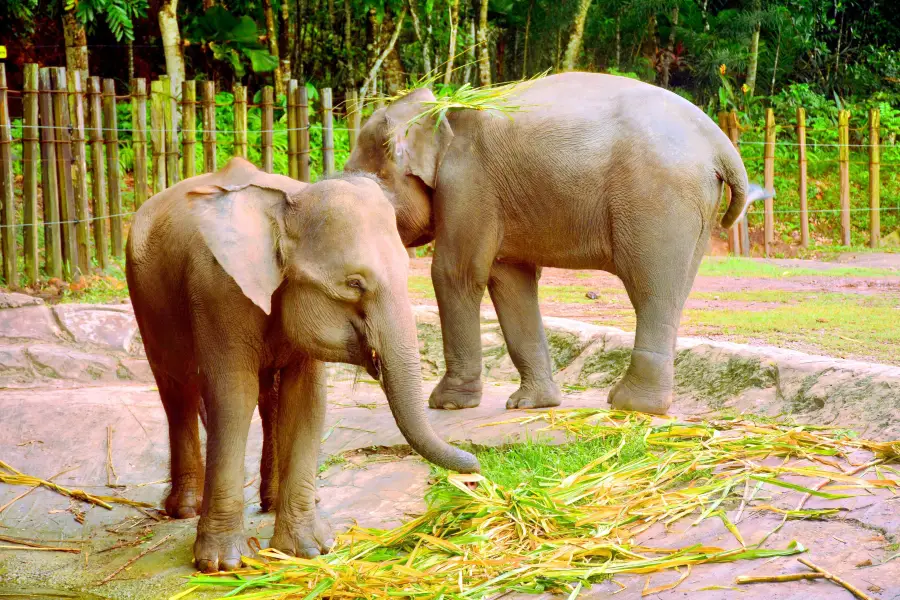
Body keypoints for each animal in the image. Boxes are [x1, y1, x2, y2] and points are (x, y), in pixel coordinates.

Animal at [127, 158, 482, 572]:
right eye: (354, 283)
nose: (476, 468)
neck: (285, 209)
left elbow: (306, 399)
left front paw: (310, 550)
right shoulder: (217, 291)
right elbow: (233, 396)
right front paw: (224, 564)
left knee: (268, 399)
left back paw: (276, 502)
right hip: (145, 299)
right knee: (177, 392)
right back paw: (185, 509)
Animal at [344, 71, 768, 418]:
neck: (443, 111)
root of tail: (720, 144)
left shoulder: (467, 185)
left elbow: (456, 274)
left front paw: (446, 404)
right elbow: (510, 282)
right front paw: (531, 405)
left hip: (658, 200)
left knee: (651, 289)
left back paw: (630, 405)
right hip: (693, 209)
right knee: (671, 292)